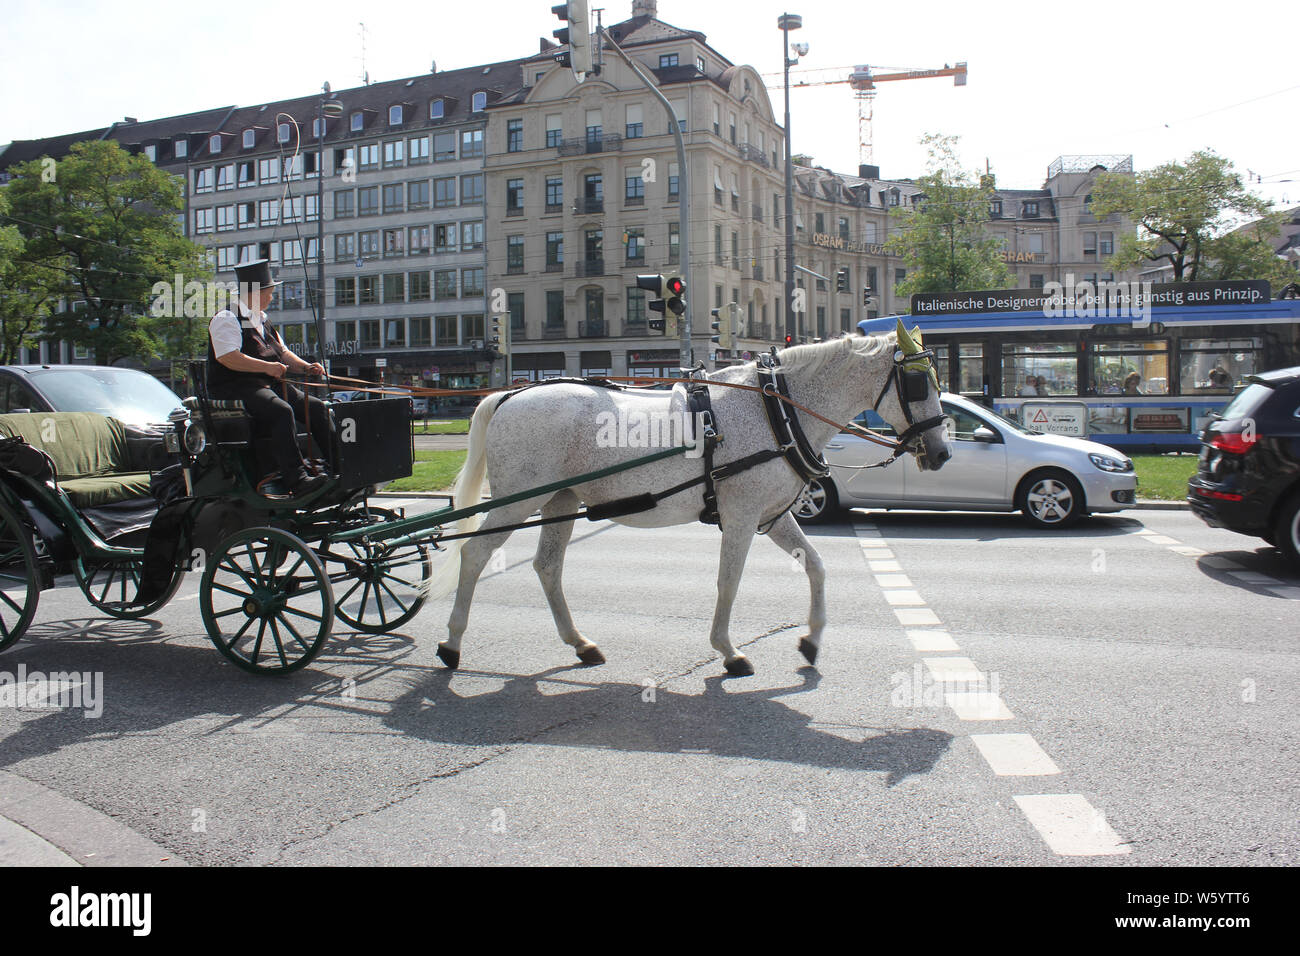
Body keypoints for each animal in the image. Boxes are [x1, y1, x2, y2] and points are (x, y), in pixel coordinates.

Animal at [421, 325, 951, 676]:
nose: (942, 453)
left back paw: (580, 644)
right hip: (515, 501)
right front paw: (729, 651)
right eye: (918, 383)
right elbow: (728, 582)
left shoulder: (771, 516)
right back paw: (451, 643)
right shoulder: (740, 517)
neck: (776, 409)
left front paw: (812, 639)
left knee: (547, 566)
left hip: (560, 500)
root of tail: (508, 397)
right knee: (475, 554)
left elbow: (817, 566)